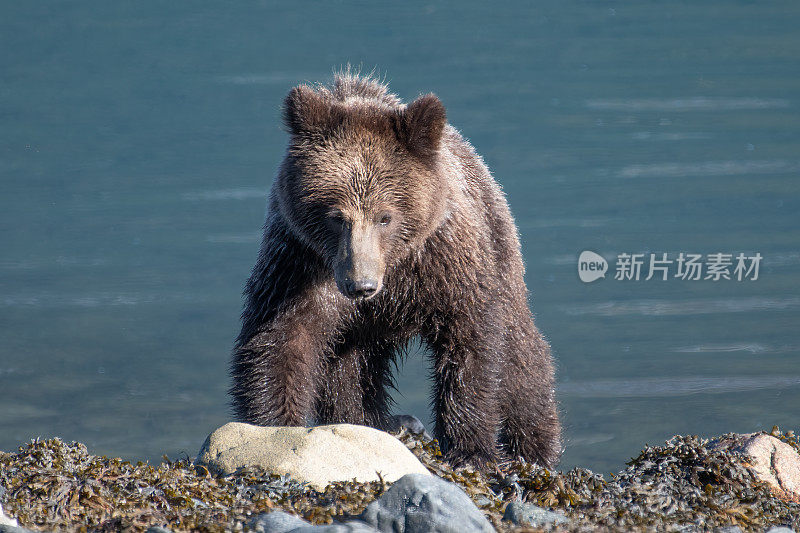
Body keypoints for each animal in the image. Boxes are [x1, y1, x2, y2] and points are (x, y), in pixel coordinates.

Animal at [228, 72, 560, 468]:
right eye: (336, 216)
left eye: (385, 217)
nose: (361, 285)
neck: (392, 271)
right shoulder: (298, 262)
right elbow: (281, 338)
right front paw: (273, 429)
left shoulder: (444, 264)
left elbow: (470, 343)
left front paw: (469, 451)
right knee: (350, 372)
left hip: (500, 252)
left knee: (522, 357)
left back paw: (534, 446)